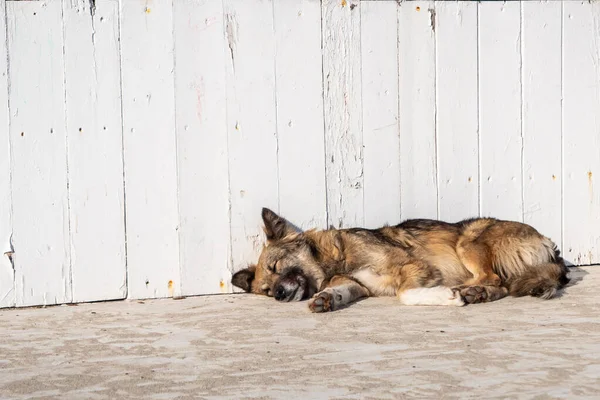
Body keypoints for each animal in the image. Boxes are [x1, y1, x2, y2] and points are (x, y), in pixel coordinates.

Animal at [232, 209, 568, 312]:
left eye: (276, 266)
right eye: (265, 290)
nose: (278, 295)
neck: (336, 258)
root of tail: (549, 245)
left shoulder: (412, 266)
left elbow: (405, 294)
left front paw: (446, 295)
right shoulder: (360, 286)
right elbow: (341, 290)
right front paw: (325, 298)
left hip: (468, 241)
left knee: (495, 279)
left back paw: (469, 291)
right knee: (500, 285)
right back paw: (476, 293)